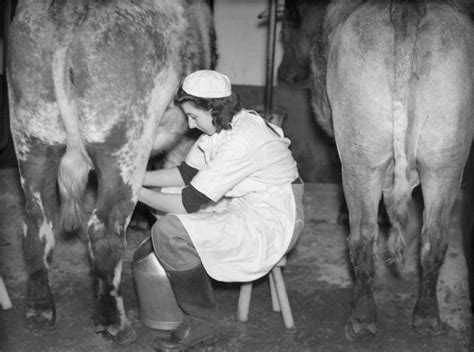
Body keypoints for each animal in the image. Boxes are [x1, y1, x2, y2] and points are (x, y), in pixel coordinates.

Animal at [6, 0, 218, 342]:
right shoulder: (184, 139)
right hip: (123, 144)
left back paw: (40, 309)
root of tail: (71, 9)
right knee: (104, 229)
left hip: (32, 135)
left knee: (37, 223)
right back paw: (113, 322)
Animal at [280, 1, 472, 340]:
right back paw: (426, 316)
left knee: (362, 236)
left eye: (287, 29)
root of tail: (408, 8)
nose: (282, 74)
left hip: (360, 155)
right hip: (446, 156)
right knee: (434, 236)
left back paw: (362, 316)